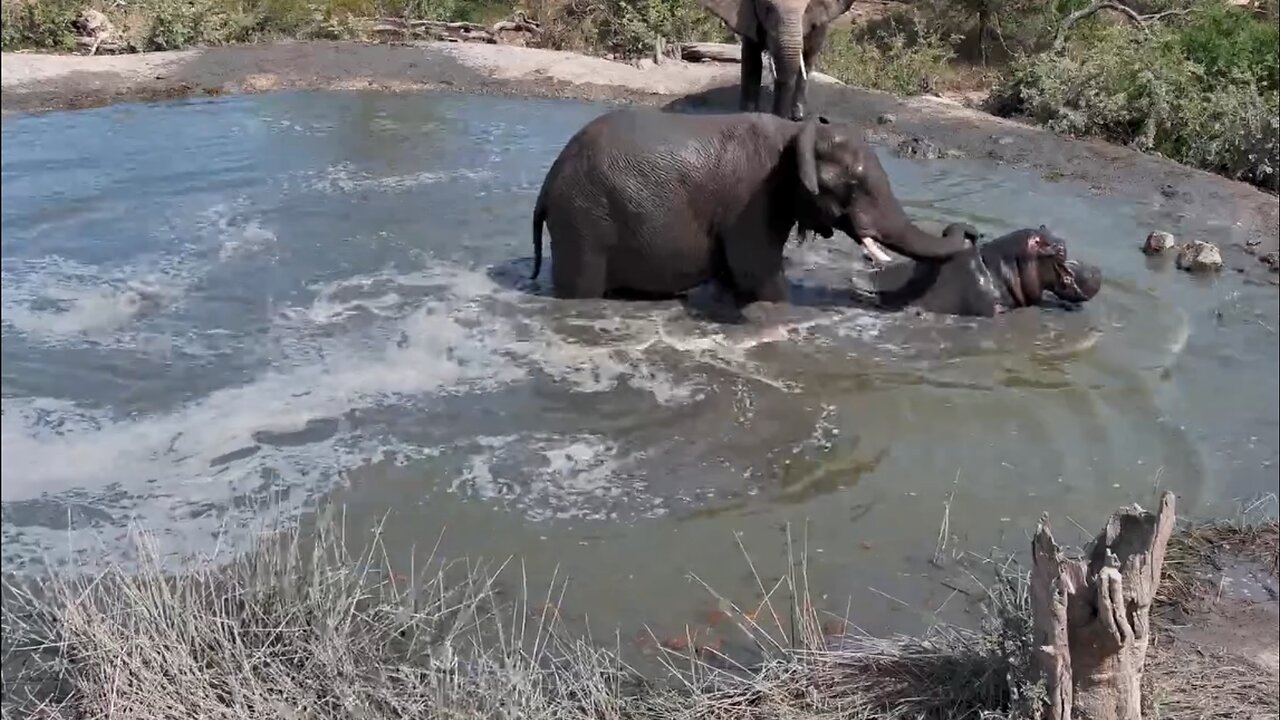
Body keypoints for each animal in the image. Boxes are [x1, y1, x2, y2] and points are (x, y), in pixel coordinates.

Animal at [529, 105, 967, 301]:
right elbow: (758, 274)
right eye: (855, 184)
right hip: (585, 220)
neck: (796, 132)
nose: (969, 232)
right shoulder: (751, 199)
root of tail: (547, 183)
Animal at [696, 0, 855, 119]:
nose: (779, 116)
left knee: (808, 60)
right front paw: (748, 111)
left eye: (806, 10)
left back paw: (797, 115)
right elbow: (752, 59)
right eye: (767, 9)